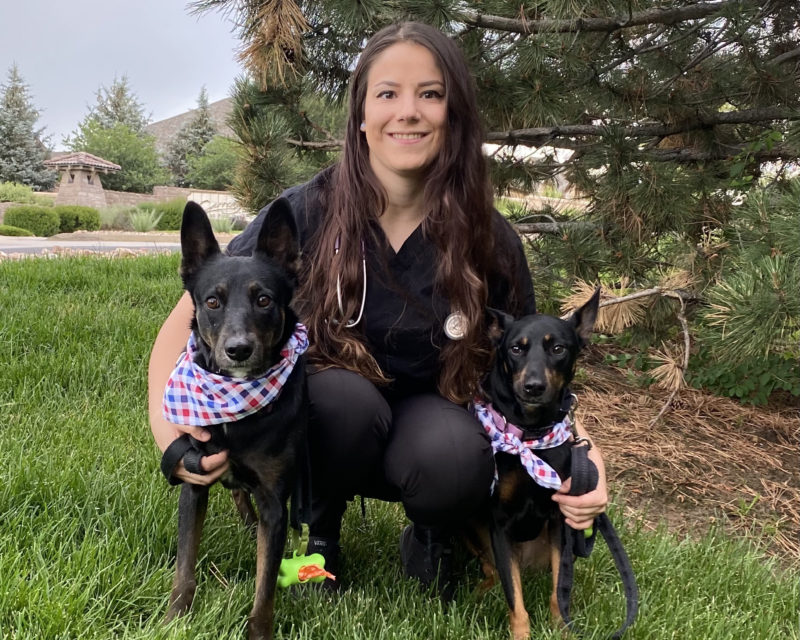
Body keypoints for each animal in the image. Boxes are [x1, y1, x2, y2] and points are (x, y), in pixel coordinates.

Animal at [161, 200, 304, 640]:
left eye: (264, 300)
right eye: (212, 302)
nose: (238, 350)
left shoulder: (275, 501)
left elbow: (265, 582)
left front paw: (259, 631)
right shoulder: (193, 479)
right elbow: (184, 564)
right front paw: (175, 619)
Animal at [468, 292, 600, 640]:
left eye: (558, 349)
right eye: (516, 348)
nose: (534, 386)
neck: (530, 434)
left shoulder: (560, 518)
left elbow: (559, 589)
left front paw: (562, 629)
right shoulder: (499, 523)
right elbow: (515, 599)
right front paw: (521, 634)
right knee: (492, 571)